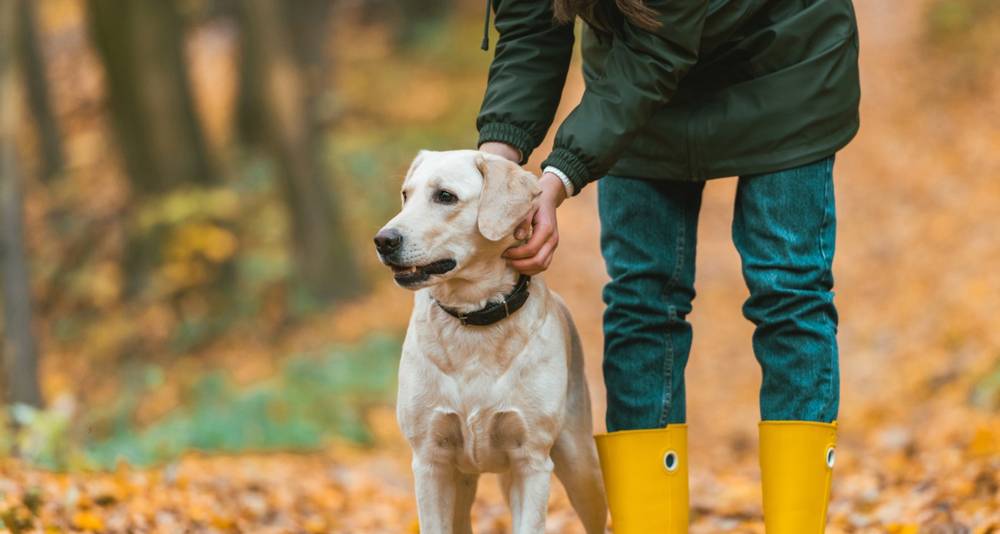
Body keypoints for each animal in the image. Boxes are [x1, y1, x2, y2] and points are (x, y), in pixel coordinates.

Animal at [376, 151, 604, 534]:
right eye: (406, 194)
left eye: (445, 196)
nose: (383, 240)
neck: (473, 316)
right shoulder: (430, 461)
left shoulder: (532, 461)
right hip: (462, 484)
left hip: (579, 462)